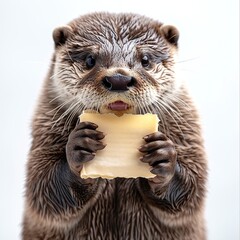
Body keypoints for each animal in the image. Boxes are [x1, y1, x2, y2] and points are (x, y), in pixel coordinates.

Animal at [21, 12, 207, 239]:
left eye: (145, 60)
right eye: (90, 60)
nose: (119, 79)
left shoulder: (186, 128)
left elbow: (192, 192)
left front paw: (164, 156)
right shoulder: (45, 126)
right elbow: (43, 191)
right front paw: (78, 147)